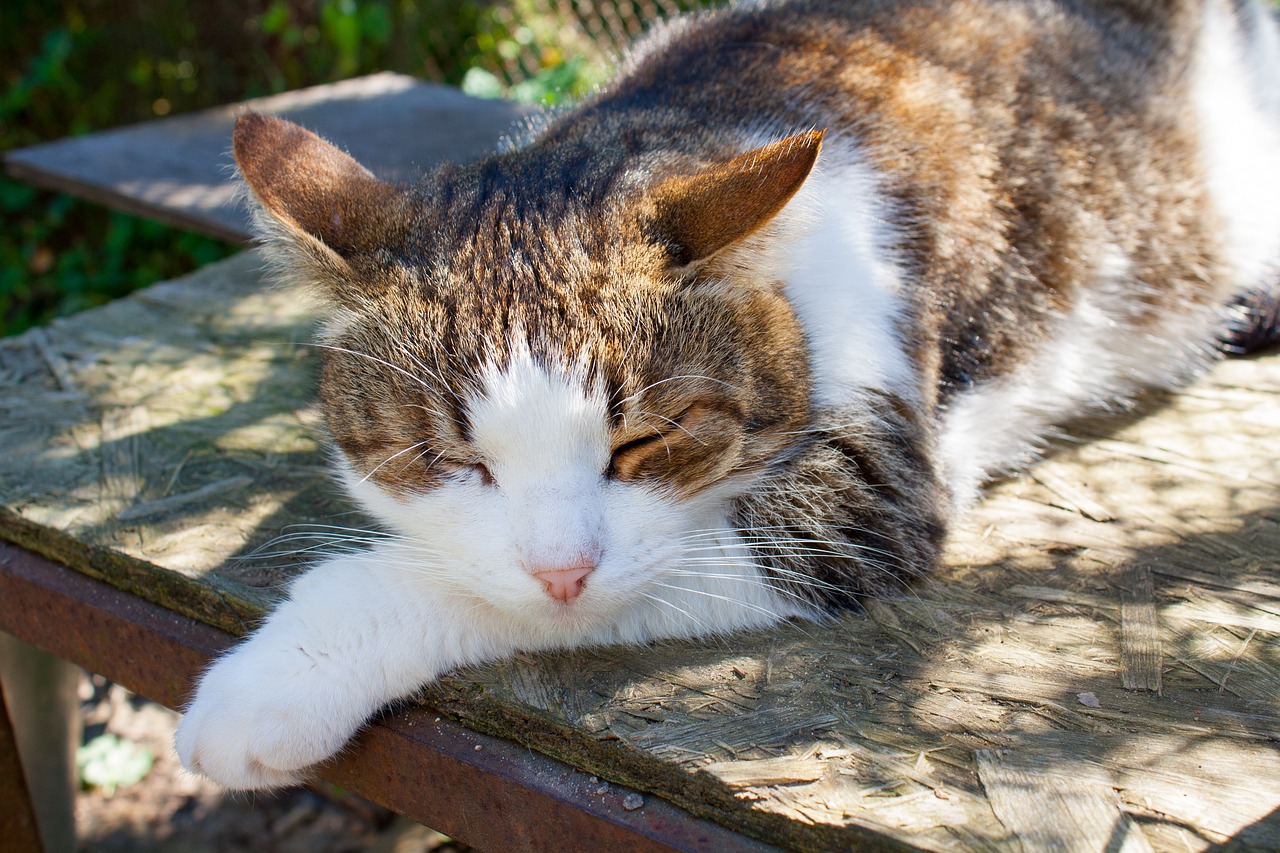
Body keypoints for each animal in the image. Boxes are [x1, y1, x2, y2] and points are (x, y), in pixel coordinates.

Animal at [172, 0, 1280, 788]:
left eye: (642, 444)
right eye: (453, 460)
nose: (562, 570)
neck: (691, 113)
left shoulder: (861, 493)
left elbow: (512, 579)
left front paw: (278, 675)